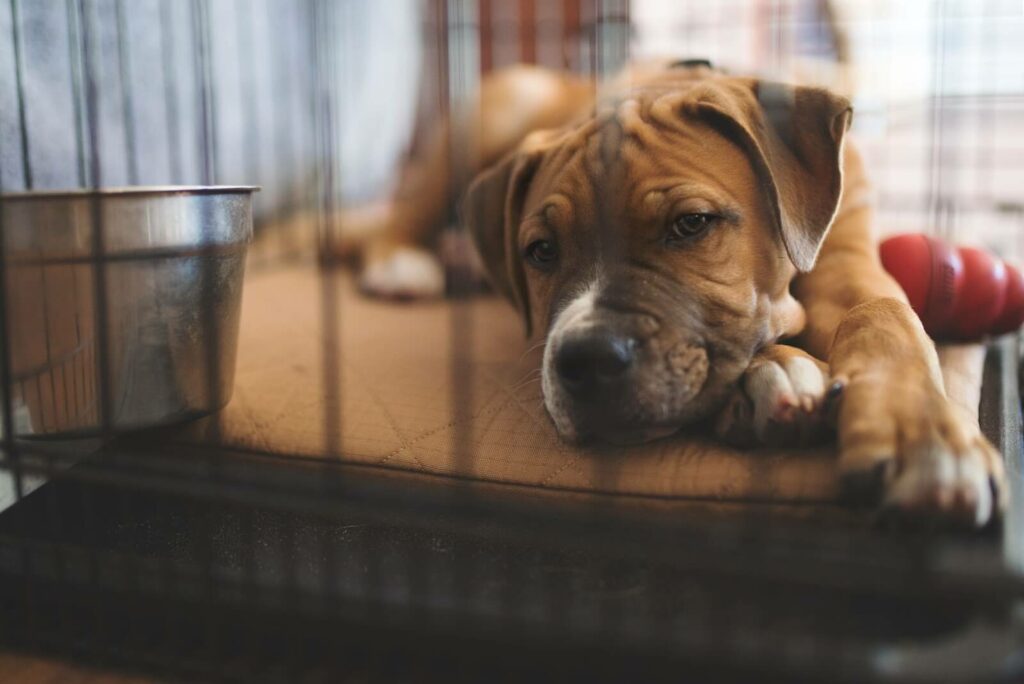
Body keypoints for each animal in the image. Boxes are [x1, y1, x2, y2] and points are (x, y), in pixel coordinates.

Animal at [360, 61, 1007, 528]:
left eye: (691, 224)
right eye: (540, 251)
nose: (587, 360)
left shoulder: (849, 261)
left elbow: (884, 316)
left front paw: (924, 437)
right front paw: (778, 372)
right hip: (500, 105)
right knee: (404, 207)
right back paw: (403, 263)